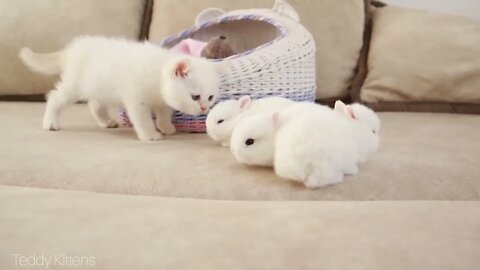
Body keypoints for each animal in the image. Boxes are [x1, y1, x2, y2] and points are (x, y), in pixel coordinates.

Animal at [18, 36, 221, 141]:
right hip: (74, 86)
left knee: (94, 105)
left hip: (99, 87)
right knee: (54, 97)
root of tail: (71, 49)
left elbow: (164, 114)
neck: (157, 74)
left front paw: (166, 127)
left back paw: (106, 121)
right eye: (195, 97)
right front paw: (150, 134)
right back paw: (50, 123)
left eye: (210, 97)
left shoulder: (162, 101)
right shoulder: (136, 100)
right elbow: (143, 120)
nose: (204, 108)